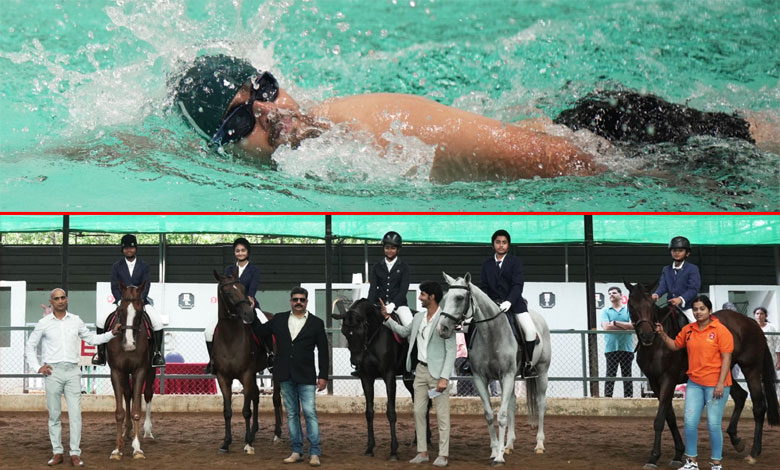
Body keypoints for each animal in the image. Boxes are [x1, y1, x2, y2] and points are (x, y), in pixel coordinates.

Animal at [106, 280, 156, 460]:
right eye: (120, 310)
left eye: (140, 311)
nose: (129, 345)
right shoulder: (116, 372)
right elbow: (120, 411)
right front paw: (117, 449)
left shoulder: (140, 370)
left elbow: (136, 410)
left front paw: (137, 448)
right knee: (128, 395)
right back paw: (127, 432)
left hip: (150, 371)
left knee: (147, 394)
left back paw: (147, 432)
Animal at [213, 270, 284, 454]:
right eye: (228, 292)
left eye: (244, 289)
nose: (249, 315)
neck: (230, 337)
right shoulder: (223, 377)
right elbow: (228, 411)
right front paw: (226, 443)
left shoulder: (245, 374)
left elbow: (246, 410)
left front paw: (247, 444)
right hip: (254, 373)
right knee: (256, 396)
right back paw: (253, 431)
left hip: (273, 371)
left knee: (276, 399)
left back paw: (277, 434)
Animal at [332, 302, 424, 458]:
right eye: (344, 332)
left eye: (360, 332)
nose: (355, 361)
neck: (373, 337)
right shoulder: (366, 377)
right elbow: (369, 412)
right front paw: (370, 448)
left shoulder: (389, 376)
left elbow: (391, 412)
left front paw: (393, 451)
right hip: (410, 381)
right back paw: (419, 439)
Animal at [436, 272, 552, 466]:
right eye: (445, 299)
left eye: (459, 298)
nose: (442, 328)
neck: (491, 333)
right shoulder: (481, 378)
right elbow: (490, 415)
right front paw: (495, 450)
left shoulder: (506, 375)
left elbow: (502, 415)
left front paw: (499, 457)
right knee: (512, 403)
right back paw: (509, 445)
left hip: (541, 373)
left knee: (541, 404)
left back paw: (539, 445)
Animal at [628, 280, 780, 468]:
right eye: (631, 305)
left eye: (651, 303)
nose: (647, 335)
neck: (657, 344)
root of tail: (751, 322)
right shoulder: (655, 382)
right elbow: (669, 417)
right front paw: (678, 453)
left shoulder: (668, 379)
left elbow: (659, 419)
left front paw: (654, 456)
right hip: (724, 374)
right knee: (741, 396)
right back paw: (736, 440)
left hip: (751, 369)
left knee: (759, 406)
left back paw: (754, 452)